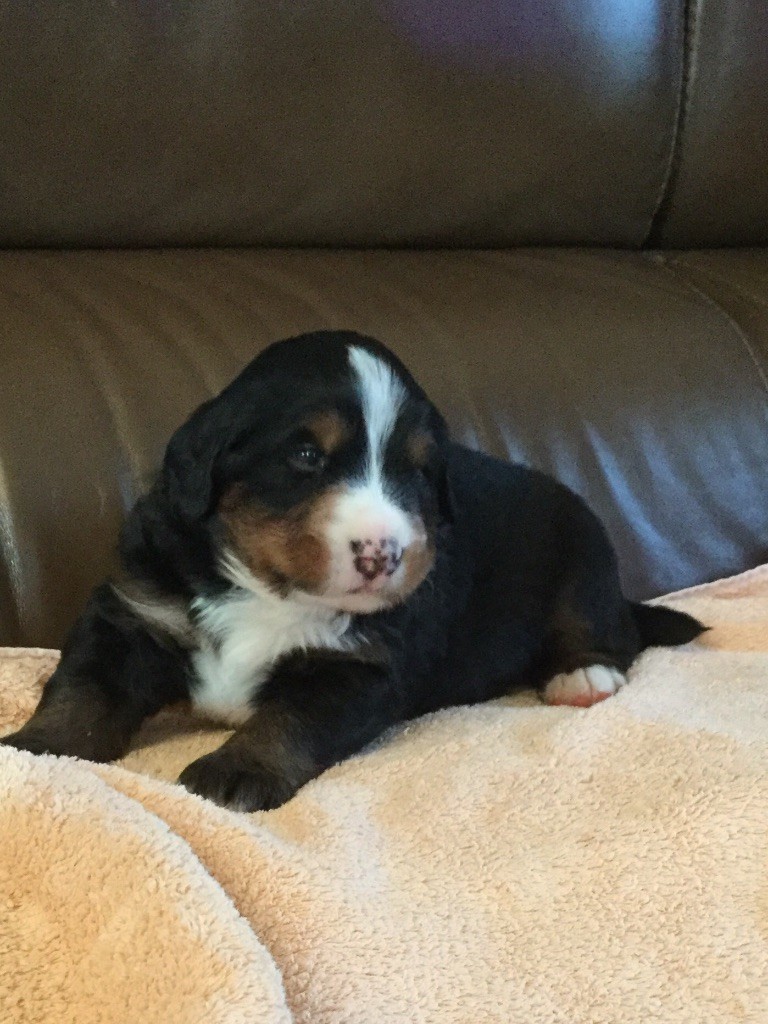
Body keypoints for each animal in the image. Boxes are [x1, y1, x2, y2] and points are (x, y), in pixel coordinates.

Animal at [2, 330, 705, 810]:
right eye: (306, 455)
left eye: (417, 471)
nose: (382, 555)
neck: (272, 592)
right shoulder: (133, 612)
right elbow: (84, 690)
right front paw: (36, 748)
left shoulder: (357, 668)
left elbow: (290, 722)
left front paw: (236, 770)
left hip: (582, 550)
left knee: (605, 628)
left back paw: (583, 676)